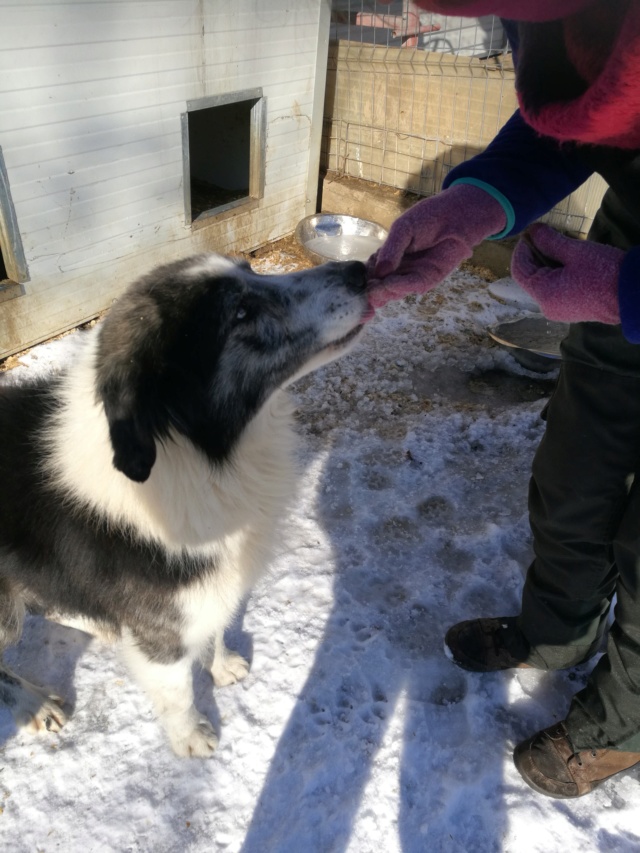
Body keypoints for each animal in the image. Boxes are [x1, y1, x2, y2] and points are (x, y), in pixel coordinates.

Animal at [0, 251, 370, 752]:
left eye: (251, 267)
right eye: (240, 313)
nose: (360, 271)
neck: (199, 455)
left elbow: (212, 630)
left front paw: (221, 663)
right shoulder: (163, 630)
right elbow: (176, 692)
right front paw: (191, 737)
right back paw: (33, 703)